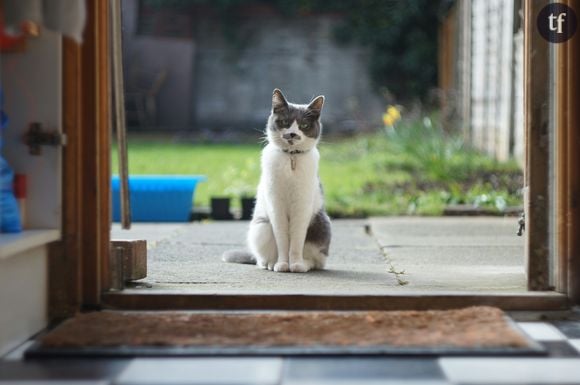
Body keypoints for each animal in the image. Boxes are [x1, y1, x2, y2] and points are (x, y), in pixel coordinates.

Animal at [222, 88, 330, 272]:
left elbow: (296, 240)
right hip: (261, 227)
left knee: (317, 261)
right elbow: (282, 239)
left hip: (321, 225)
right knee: (261, 259)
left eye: (304, 125)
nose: (292, 133)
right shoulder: (275, 205)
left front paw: (295, 264)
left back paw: (304, 264)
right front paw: (282, 264)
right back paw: (271, 264)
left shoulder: (302, 206)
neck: (291, 158)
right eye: (285, 122)